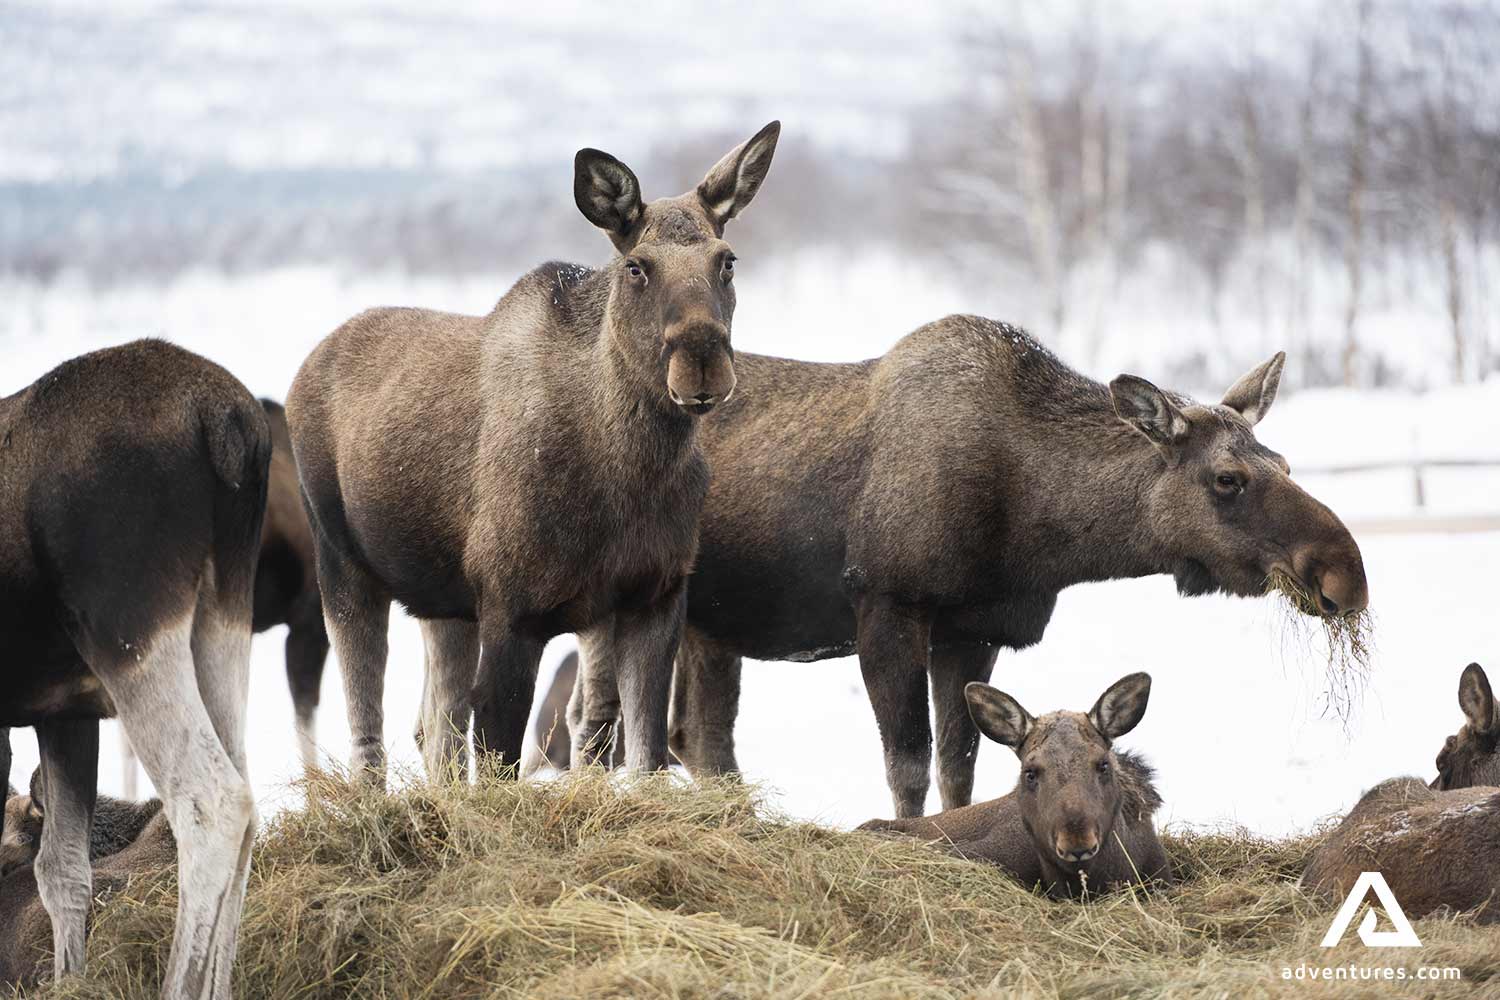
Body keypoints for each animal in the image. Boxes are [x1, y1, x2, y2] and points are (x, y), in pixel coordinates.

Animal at [0, 338, 268, 998]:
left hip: (129, 630)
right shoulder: (64, 712)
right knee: (246, 797)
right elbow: (62, 868)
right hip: (220, 623)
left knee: (210, 802)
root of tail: (230, 423)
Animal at [286, 123, 781, 784]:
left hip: (442, 604)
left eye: (726, 261)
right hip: (343, 565)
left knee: (436, 726)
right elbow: (501, 760)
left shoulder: (653, 598)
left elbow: (644, 754)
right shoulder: (511, 610)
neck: (630, 473)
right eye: (636, 267)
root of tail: (303, 370)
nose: (702, 361)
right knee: (369, 729)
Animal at [596, 321, 1370, 818]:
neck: (1036, 525)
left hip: (710, 627)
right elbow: (908, 768)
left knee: (697, 737)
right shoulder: (888, 608)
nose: (1344, 577)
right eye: (1228, 479)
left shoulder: (975, 629)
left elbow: (959, 768)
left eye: (1285, 464)